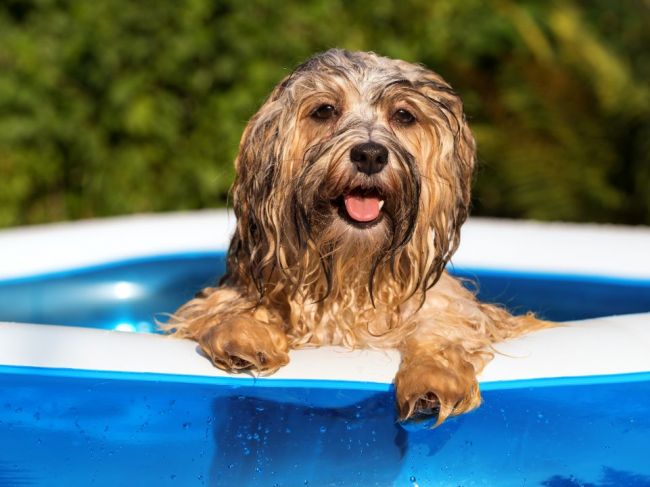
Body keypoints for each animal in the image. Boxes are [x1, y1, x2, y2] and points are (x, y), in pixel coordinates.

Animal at [166, 47, 548, 426]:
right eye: (324, 110)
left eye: (404, 115)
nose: (370, 154)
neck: (350, 268)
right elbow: (222, 309)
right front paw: (242, 336)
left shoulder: (448, 307)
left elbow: (442, 327)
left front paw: (434, 379)